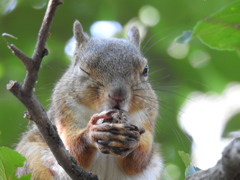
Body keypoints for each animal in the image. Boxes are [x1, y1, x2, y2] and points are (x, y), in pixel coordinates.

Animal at [15, 20, 163, 179]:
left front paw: (133, 140)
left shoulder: (146, 117)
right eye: (83, 70)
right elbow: (72, 149)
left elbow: (137, 162)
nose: (118, 95)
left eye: (145, 70)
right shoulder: (64, 112)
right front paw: (91, 133)